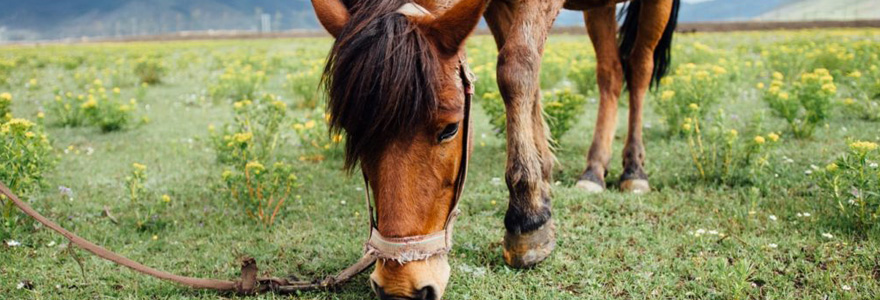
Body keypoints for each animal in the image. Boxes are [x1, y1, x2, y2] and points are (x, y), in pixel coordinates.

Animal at [310, 0, 680, 298]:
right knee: (610, 72)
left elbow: (515, 68)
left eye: (450, 129)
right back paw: (594, 170)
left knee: (640, 67)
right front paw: (541, 180)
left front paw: (527, 216)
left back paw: (634, 169)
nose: (400, 286)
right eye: (353, 133)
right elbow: (527, 74)